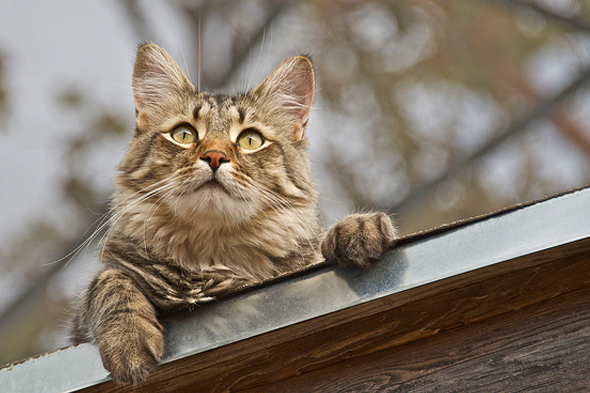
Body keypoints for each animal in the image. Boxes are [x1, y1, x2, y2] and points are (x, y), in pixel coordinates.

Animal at [73, 43, 398, 382]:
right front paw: (128, 342)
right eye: (184, 134)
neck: (213, 255)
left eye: (250, 140)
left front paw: (358, 228)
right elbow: (110, 283)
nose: (215, 156)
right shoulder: (81, 321)